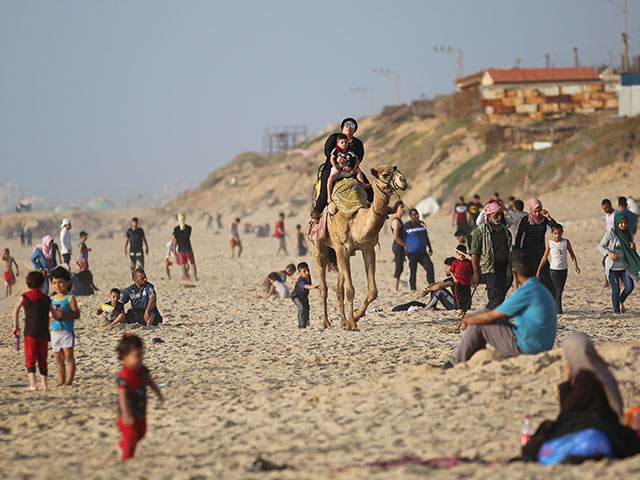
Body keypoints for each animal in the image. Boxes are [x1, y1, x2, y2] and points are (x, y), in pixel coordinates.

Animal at [312, 166, 410, 330]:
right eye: (385, 174)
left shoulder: (368, 249)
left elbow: (373, 291)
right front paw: (352, 324)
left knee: (339, 288)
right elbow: (350, 290)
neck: (355, 221)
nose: (403, 180)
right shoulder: (342, 248)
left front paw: (356, 316)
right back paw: (326, 323)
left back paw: (342, 321)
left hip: (337, 253)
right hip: (319, 247)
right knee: (323, 287)